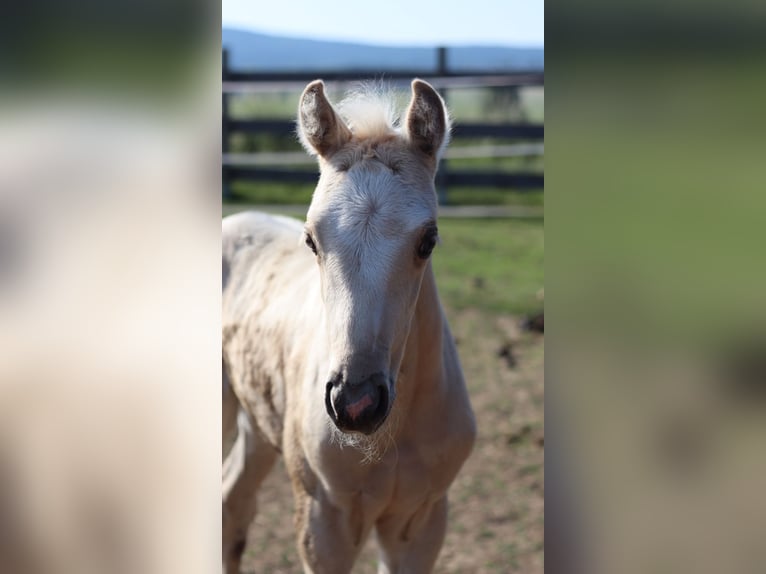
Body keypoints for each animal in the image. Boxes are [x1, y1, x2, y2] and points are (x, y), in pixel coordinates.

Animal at [222, 79, 476, 572]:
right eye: (311, 239)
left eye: (428, 240)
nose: (355, 403)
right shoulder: (324, 522)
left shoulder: (421, 521)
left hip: (256, 423)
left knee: (232, 507)